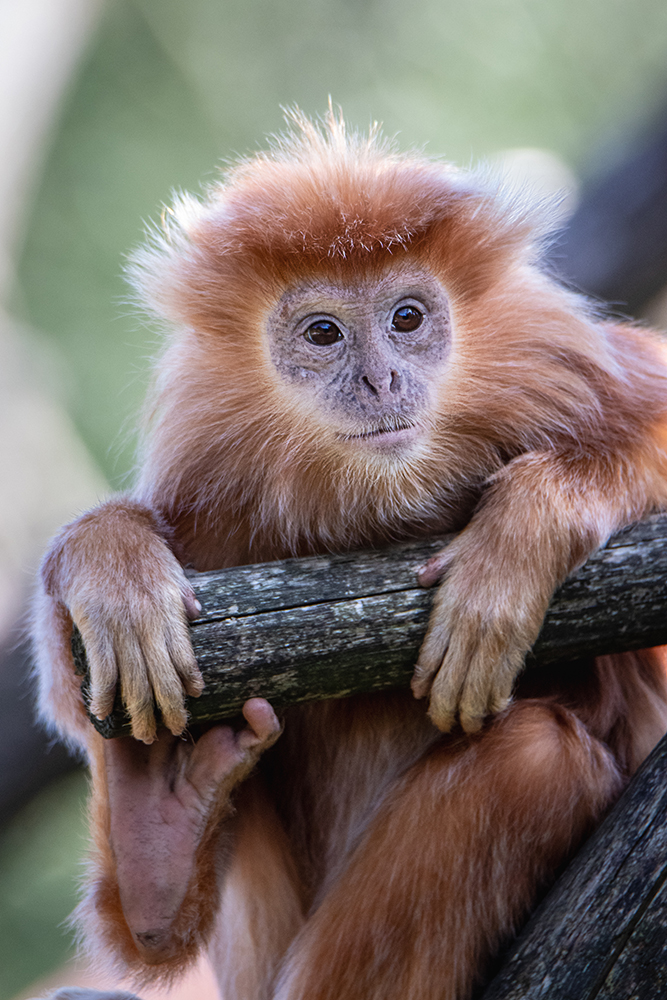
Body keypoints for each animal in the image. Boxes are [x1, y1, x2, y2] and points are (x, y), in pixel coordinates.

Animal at [32, 109, 667, 1000]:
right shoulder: (212, 512)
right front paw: (110, 564)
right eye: (323, 334)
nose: (379, 380)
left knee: (534, 756)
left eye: (406, 319)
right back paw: (155, 819)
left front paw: (516, 544)